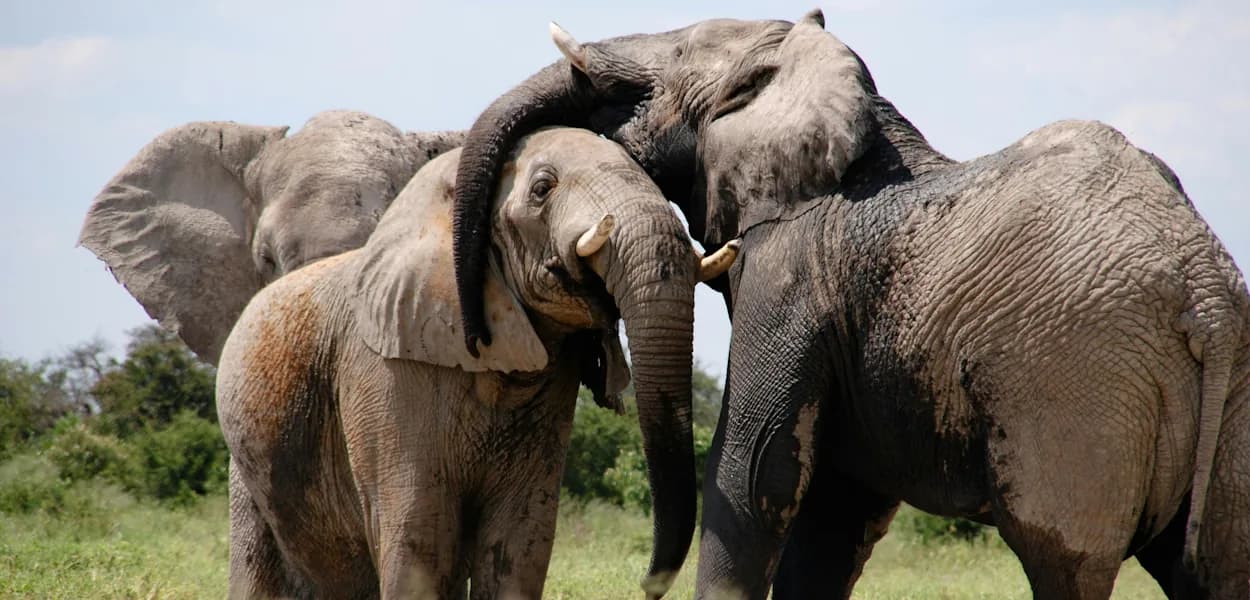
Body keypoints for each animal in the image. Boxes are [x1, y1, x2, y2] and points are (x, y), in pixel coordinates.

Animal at [215, 127, 739, 598]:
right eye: (542, 189)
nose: (647, 586)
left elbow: (520, 542)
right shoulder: (383, 375)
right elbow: (418, 539)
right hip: (245, 462)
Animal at [447, 11, 1250, 600]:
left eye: (672, 55)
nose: (478, 333)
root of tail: (1204, 292)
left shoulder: (790, 271)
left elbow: (755, 473)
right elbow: (834, 510)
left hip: (1077, 388)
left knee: (1064, 563)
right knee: (1215, 568)